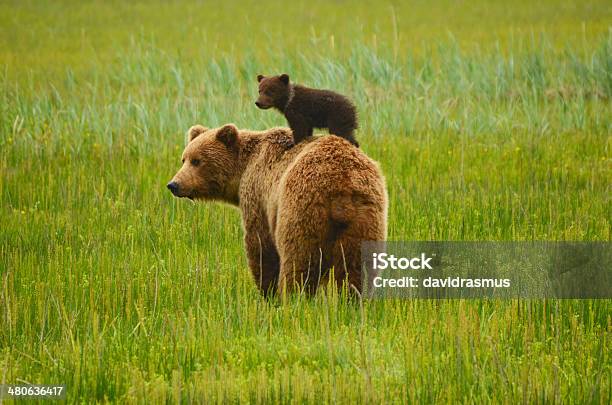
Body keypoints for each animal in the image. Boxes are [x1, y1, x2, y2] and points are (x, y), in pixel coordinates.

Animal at [167, 124, 388, 296]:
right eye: (184, 159)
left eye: (197, 160)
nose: (174, 184)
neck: (243, 169)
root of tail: (342, 183)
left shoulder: (258, 195)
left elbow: (260, 245)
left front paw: (267, 292)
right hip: (365, 216)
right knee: (357, 266)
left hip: (301, 208)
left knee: (299, 261)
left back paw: (293, 299)